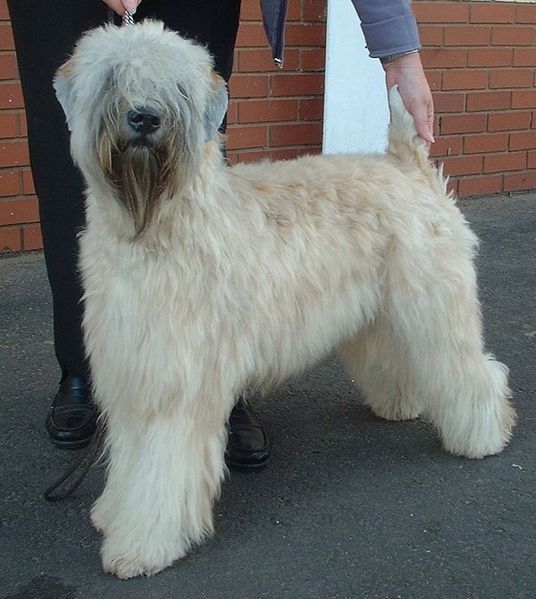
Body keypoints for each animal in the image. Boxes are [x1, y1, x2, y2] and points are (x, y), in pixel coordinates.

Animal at [53, 21, 516, 580]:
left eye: (178, 88)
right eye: (114, 77)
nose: (145, 117)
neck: (157, 228)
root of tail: (407, 165)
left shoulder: (177, 386)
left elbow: (160, 473)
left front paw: (141, 544)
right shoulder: (132, 371)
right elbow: (130, 463)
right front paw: (111, 511)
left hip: (433, 308)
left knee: (473, 371)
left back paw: (484, 436)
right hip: (384, 315)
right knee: (399, 358)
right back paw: (400, 404)